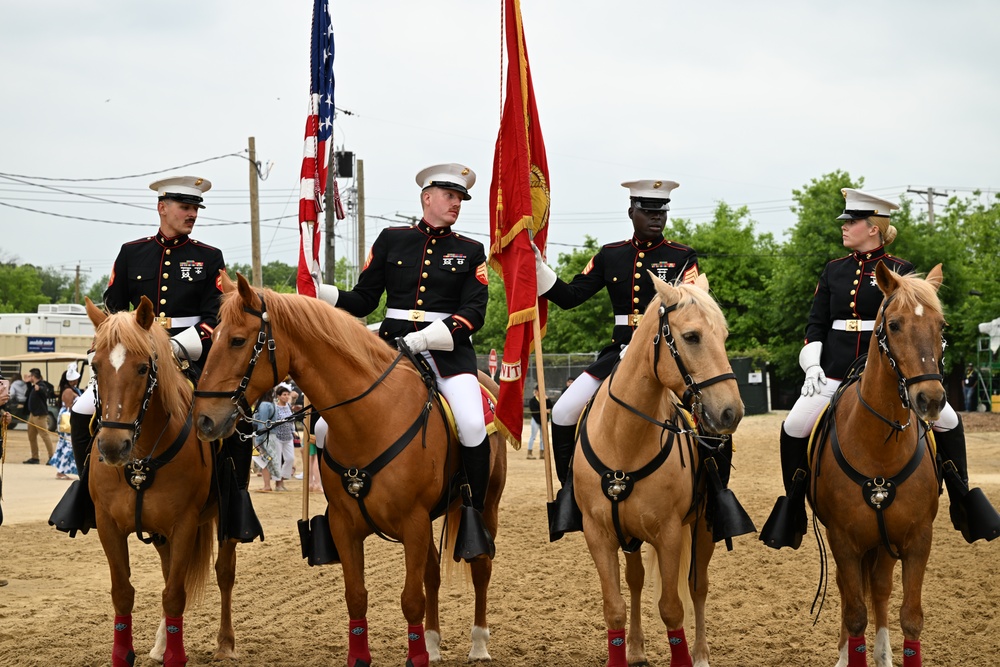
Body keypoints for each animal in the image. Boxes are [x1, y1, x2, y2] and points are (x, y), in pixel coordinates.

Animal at [83, 298, 240, 667]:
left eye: (143, 369)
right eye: (95, 367)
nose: (112, 447)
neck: (141, 459)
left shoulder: (184, 524)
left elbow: (175, 595)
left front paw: (176, 655)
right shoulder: (108, 525)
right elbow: (123, 593)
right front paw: (125, 654)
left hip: (226, 516)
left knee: (224, 573)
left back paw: (225, 643)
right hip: (160, 533)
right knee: (170, 573)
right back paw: (159, 643)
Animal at [193, 274, 508, 667]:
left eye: (237, 340)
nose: (204, 420)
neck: (371, 417)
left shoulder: (413, 522)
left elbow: (411, 599)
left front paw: (417, 657)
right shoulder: (346, 525)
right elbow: (357, 595)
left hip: (485, 505)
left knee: (481, 565)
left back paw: (478, 644)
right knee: (432, 574)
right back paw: (433, 644)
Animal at [572, 272, 744, 667]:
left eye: (724, 336)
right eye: (692, 336)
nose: (732, 412)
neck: (624, 440)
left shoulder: (669, 533)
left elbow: (671, 608)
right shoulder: (598, 534)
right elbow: (614, 607)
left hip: (702, 528)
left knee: (698, 587)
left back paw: (701, 654)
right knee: (635, 581)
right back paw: (636, 648)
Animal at [812, 262, 944, 667]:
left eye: (941, 326)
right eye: (895, 325)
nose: (931, 399)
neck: (880, 448)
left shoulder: (917, 540)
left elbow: (911, 617)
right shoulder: (844, 541)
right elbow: (855, 613)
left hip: (884, 545)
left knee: (882, 590)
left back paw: (884, 655)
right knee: (848, 595)